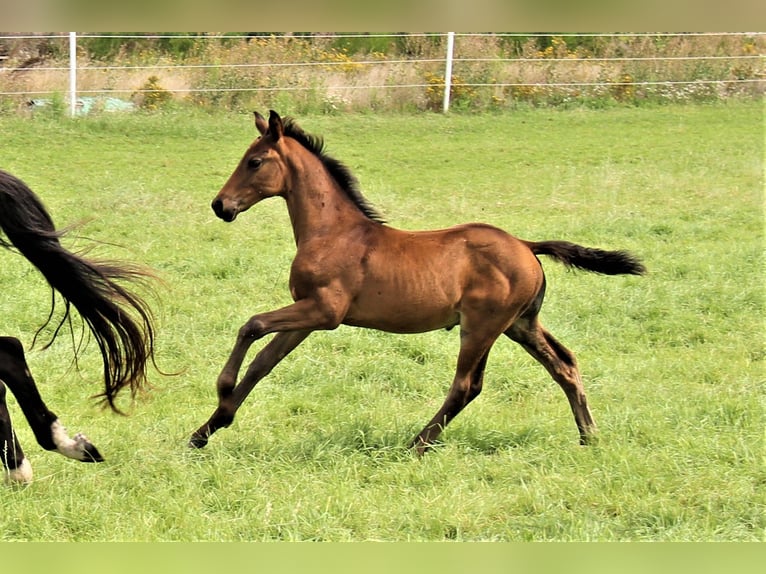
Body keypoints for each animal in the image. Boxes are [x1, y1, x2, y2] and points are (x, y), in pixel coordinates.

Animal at [189, 111, 644, 454]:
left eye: (254, 161)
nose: (220, 205)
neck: (332, 231)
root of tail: (526, 246)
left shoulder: (324, 311)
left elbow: (252, 325)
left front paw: (221, 390)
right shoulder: (307, 315)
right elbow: (264, 363)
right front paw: (206, 429)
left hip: (481, 326)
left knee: (466, 385)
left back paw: (417, 445)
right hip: (520, 324)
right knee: (564, 365)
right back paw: (589, 437)